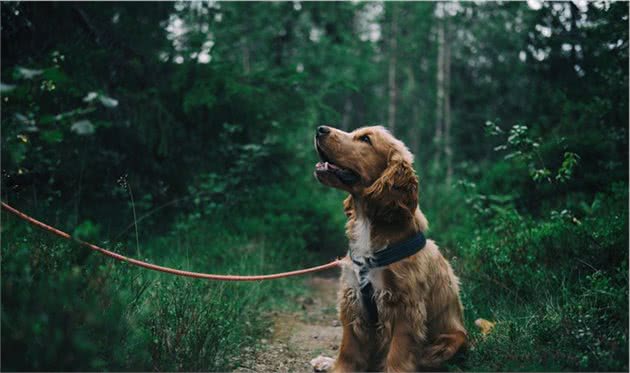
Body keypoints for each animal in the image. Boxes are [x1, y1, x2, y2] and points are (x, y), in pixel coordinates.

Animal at [316, 124, 470, 370]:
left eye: (366, 139)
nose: (320, 129)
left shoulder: (405, 307)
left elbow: (397, 356)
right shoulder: (352, 300)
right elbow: (347, 352)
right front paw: (336, 367)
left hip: (450, 342)